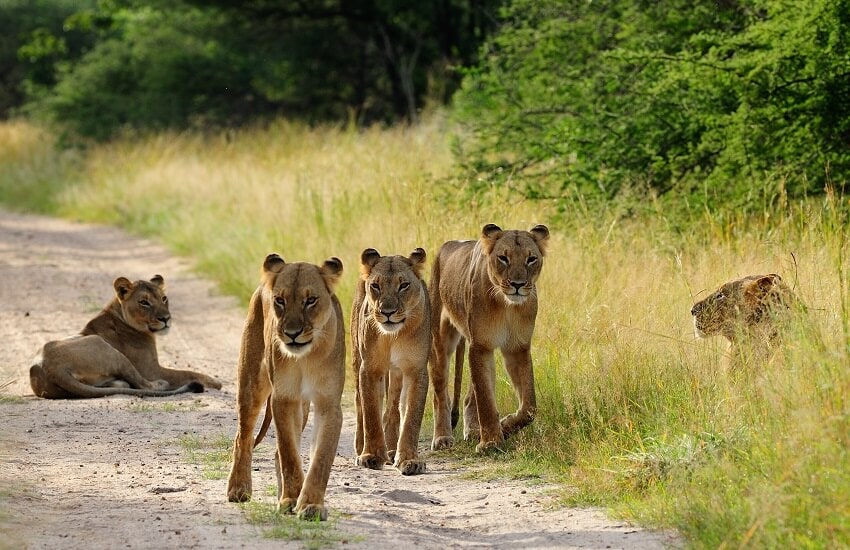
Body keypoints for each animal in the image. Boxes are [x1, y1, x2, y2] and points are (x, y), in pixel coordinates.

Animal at [29, 275, 221, 399]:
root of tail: (51, 368)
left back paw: (120, 384)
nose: (166, 318)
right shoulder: (151, 370)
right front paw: (215, 381)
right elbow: (187, 372)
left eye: (164, 298)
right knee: (144, 384)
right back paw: (160, 384)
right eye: (144, 302)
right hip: (106, 348)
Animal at [226, 253, 345, 521]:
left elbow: (320, 458)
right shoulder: (284, 398)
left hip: (303, 407)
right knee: (243, 437)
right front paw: (291, 500)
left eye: (311, 300)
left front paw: (310, 505)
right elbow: (289, 452)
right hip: (252, 383)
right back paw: (239, 489)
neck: (306, 357)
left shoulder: (328, 403)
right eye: (279, 300)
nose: (292, 334)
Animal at [351, 248, 430, 475]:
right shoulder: (369, 368)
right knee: (360, 403)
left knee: (393, 408)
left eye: (404, 285)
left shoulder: (416, 370)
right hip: (356, 357)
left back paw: (392, 450)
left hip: (396, 373)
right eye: (375, 286)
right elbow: (371, 413)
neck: (394, 335)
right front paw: (371, 456)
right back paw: (361, 447)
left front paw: (409, 460)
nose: (387, 312)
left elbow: (411, 416)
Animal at [429, 223, 549, 453]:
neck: (507, 306)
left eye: (531, 259)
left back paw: (474, 432)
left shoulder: (518, 348)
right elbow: (485, 399)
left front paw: (505, 427)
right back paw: (442, 438)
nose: (518, 284)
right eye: (503, 258)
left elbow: (529, 407)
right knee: (441, 393)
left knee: (469, 396)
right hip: (440, 340)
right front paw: (491, 442)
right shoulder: (480, 346)